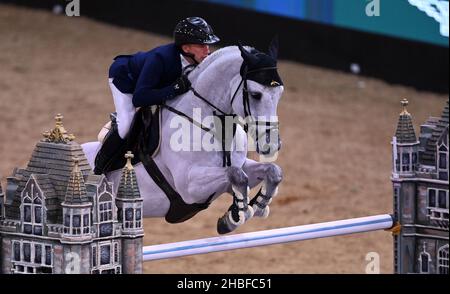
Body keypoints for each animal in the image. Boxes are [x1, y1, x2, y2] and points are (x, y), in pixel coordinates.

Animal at [81, 43, 284, 234]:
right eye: (255, 95)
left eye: (280, 93)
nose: (272, 144)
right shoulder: (190, 188)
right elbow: (237, 176)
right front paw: (235, 217)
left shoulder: (238, 168)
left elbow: (272, 171)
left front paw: (257, 206)